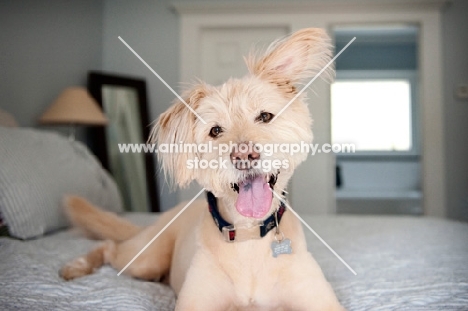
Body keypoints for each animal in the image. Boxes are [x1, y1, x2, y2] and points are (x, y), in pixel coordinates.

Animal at [60, 28, 344, 310]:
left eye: (265, 116)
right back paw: (78, 265)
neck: (249, 235)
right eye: (215, 131)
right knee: (110, 247)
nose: (244, 155)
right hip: (145, 260)